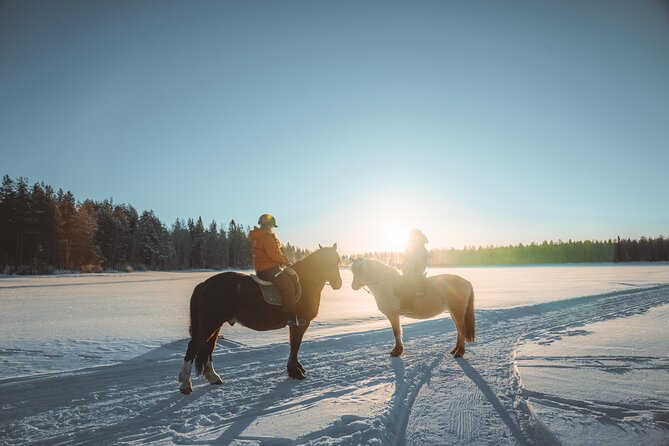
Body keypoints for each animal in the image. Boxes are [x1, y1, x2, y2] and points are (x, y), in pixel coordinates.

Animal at [177, 244, 342, 394]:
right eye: (328, 263)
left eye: (338, 262)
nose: (338, 284)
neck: (305, 281)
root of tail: (204, 284)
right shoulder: (300, 323)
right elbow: (295, 345)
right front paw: (295, 372)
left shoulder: (295, 324)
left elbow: (293, 345)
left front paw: (295, 368)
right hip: (210, 323)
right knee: (194, 346)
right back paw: (186, 384)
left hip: (215, 324)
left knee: (209, 348)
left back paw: (213, 377)